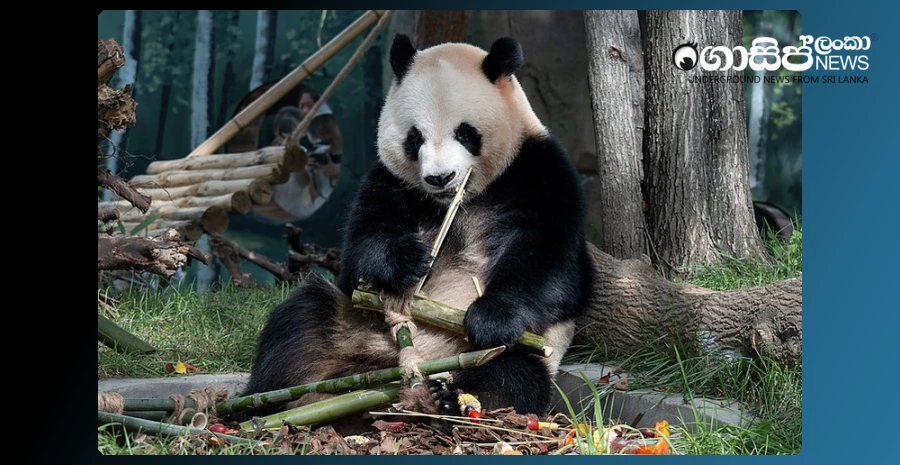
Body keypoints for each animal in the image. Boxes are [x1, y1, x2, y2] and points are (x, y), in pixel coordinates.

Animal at [233, 34, 595, 422]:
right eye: (414, 137)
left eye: (465, 133)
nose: (440, 177)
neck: (459, 199)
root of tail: (380, 370)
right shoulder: (391, 181)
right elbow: (360, 251)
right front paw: (407, 260)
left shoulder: (539, 172)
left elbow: (552, 266)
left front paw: (491, 317)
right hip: (347, 319)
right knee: (296, 326)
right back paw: (256, 404)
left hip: (507, 352)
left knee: (510, 376)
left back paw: (450, 399)